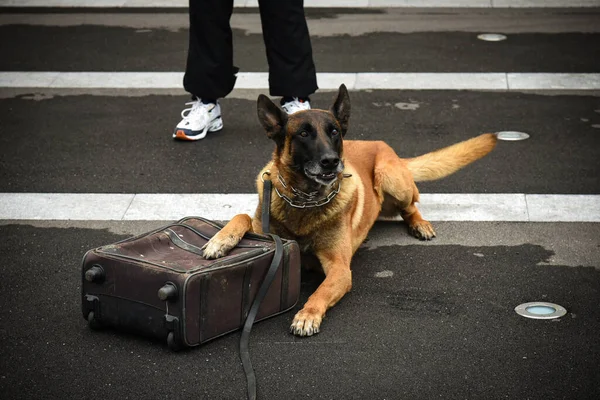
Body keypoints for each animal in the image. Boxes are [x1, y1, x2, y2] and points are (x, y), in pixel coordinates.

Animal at [202, 85, 496, 338]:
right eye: (304, 134)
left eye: (333, 132)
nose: (331, 161)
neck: (305, 200)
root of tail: (383, 146)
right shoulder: (264, 227)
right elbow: (240, 217)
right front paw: (219, 242)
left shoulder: (340, 268)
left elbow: (320, 292)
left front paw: (307, 315)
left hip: (390, 177)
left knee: (411, 206)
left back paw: (419, 224)